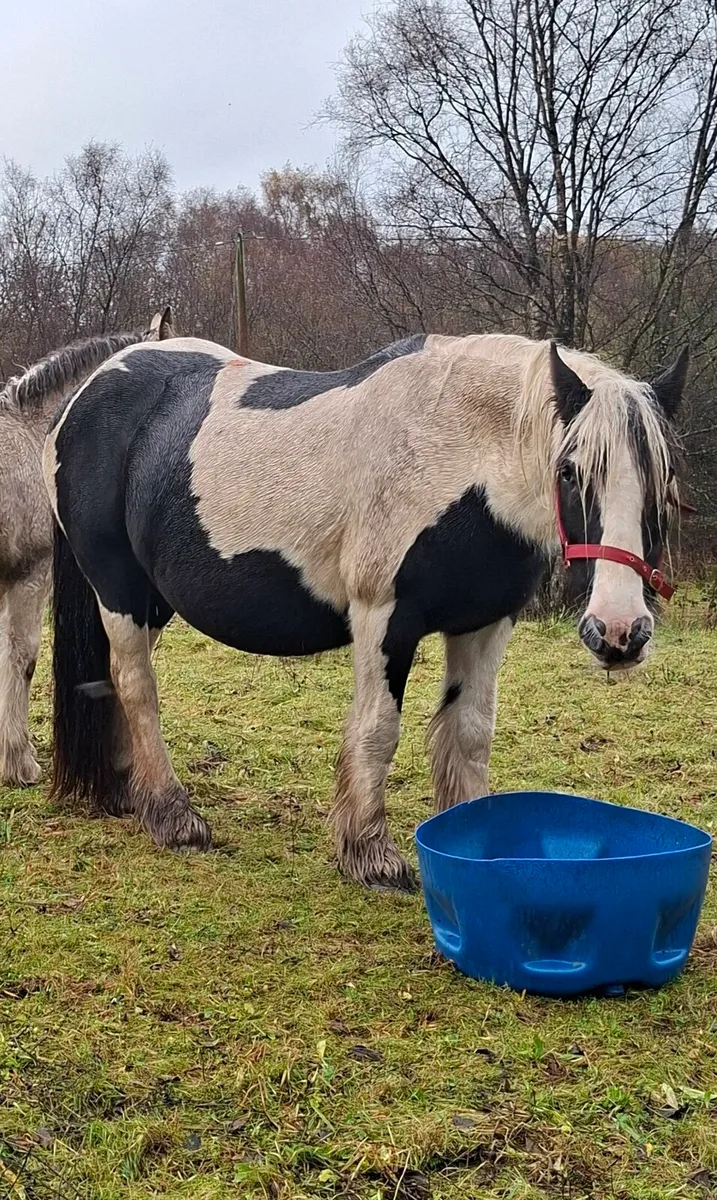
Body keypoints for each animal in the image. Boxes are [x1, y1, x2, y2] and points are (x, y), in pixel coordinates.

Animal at [42, 331, 687, 890]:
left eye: (664, 478)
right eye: (571, 471)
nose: (619, 633)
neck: (458, 455)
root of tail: (88, 391)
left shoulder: (486, 623)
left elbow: (469, 731)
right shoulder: (384, 618)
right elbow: (378, 730)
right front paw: (369, 854)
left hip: (151, 605)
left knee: (118, 681)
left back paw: (129, 792)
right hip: (119, 591)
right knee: (137, 686)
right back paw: (172, 815)